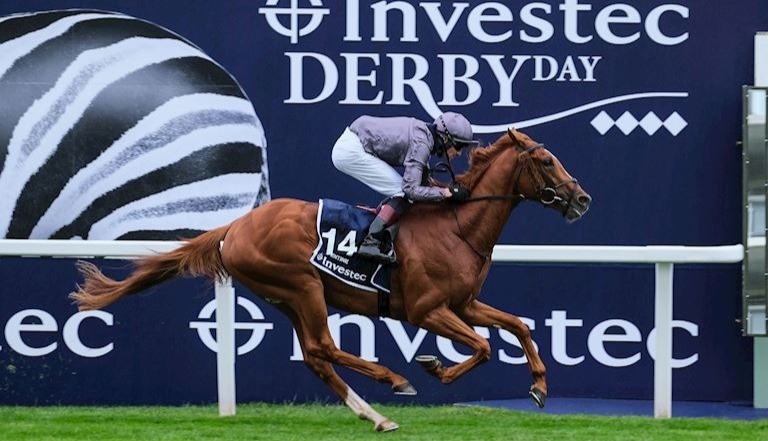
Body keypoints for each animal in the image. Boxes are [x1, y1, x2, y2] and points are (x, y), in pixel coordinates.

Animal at [69, 127, 592, 430]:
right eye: (546, 160)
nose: (582, 199)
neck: (457, 226)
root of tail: (234, 227)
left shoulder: (463, 304)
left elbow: (518, 326)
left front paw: (540, 388)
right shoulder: (428, 310)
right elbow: (483, 347)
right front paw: (435, 367)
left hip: (287, 296)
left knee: (317, 357)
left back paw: (375, 414)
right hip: (301, 285)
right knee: (323, 347)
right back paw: (395, 380)